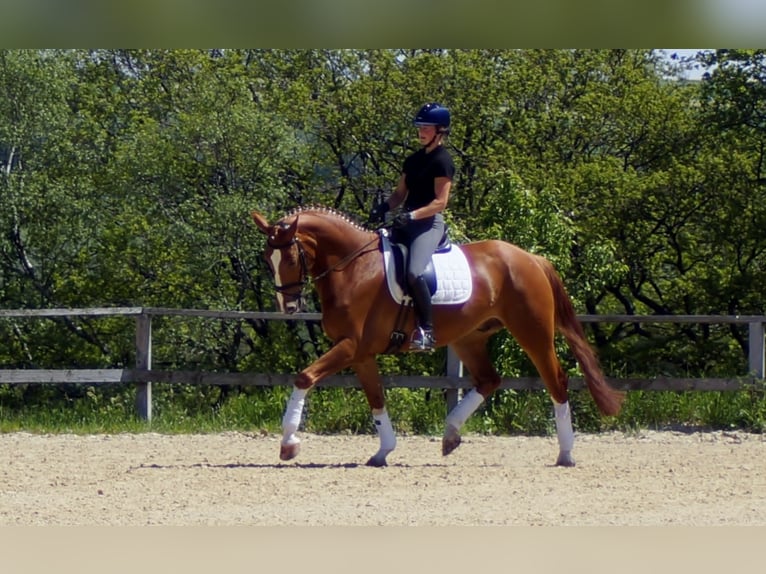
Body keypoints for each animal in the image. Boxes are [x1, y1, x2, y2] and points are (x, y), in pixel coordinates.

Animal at [252, 207, 624, 468]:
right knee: (489, 380)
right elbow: (376, 399)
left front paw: (288, 443)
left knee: (556, 381)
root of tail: (530, 257)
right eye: (267, 258)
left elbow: (304, 377)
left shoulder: (350, 346)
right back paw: (450, 435)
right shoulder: (362, 354)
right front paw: (383, 451)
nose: (288, 307)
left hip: (533, 332)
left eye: (289, 256)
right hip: (469, 338)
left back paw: (566, 454)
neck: (354, 269)